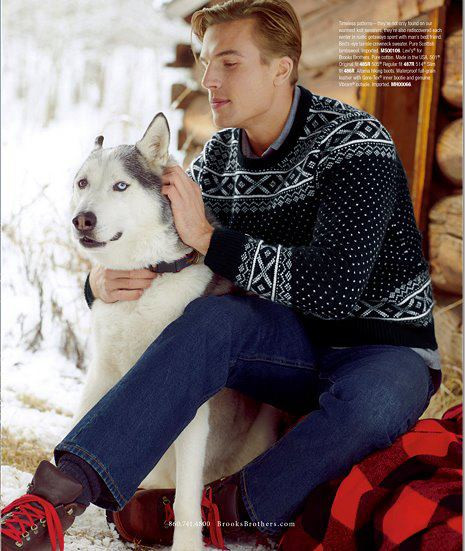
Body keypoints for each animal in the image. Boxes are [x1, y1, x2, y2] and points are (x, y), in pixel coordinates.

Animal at [70, 113, 283, 550]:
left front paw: (187, 544)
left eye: (121, 186)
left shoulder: (193, 410)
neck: (149, 275)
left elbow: (186, 498)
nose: (83, 219)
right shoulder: (101, 372)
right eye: (83, 183)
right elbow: (83, 424)